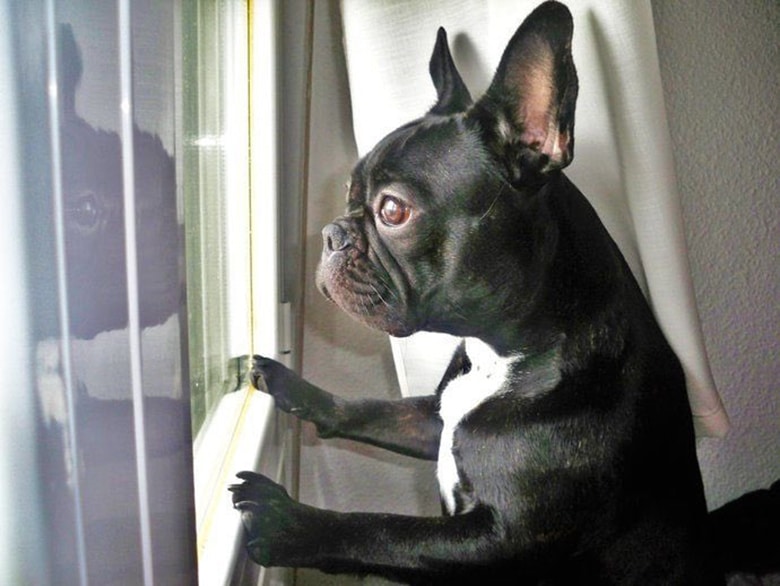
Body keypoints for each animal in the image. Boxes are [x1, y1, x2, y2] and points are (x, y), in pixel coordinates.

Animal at [233, 2, 724, 580]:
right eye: (350, 193)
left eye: (392, 210)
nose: (332, 233)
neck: (500, 354)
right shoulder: (435, 419)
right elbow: (368, 409)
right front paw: (294, 386)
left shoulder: (499, 541)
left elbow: (385, 530)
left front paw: (292, 523)